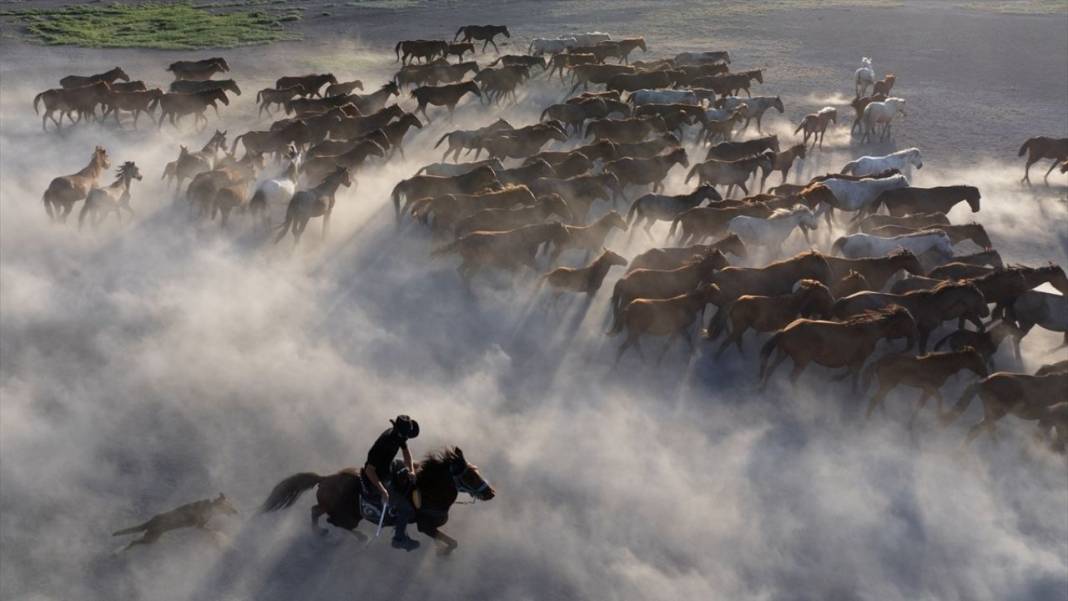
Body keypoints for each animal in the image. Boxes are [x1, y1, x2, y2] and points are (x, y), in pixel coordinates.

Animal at [260, 446, 493, 555]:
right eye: (469, 476)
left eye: (476, 471)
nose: (491, 493)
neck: (428, 491)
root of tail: (324, 479)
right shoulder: (425, 526)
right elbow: (452, 542)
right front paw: (442, 553)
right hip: (349, 516)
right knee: (331, 519)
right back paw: (357, 536)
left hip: (336, 508)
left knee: (316, 510)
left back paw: (322, 533)